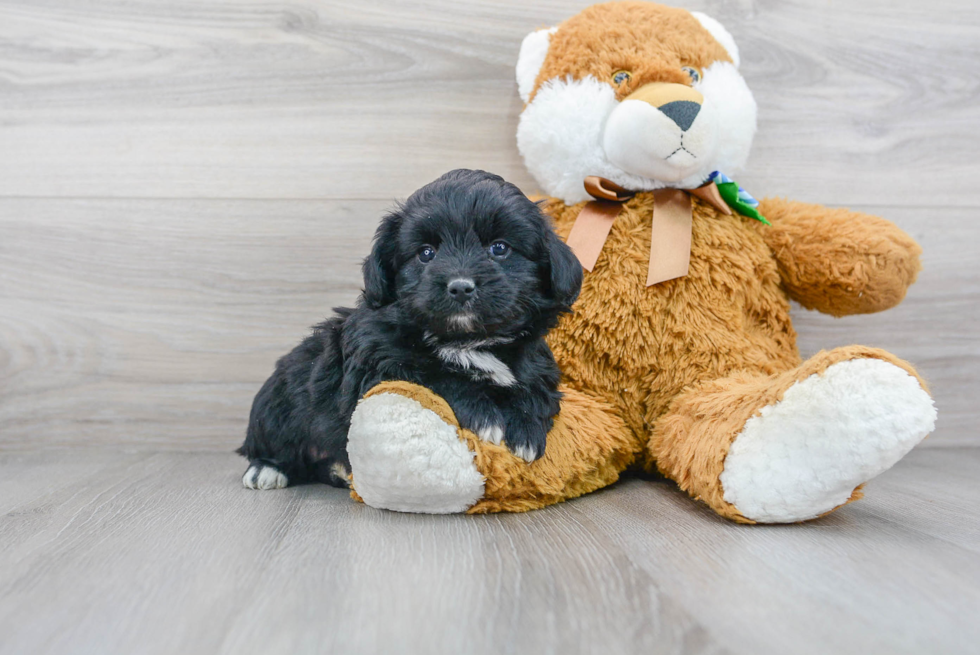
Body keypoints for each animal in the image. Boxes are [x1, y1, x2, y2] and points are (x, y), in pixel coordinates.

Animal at [237, 172, 580, 490]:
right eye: (426, 253)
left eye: (499, 248)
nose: (460, 286)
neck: (470, 340)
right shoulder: (376, 365)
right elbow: (434, 376)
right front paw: (486, 414)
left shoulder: (537, 364)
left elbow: (535, 390)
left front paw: (526, 428)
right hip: (276, 403)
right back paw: (267, 469)